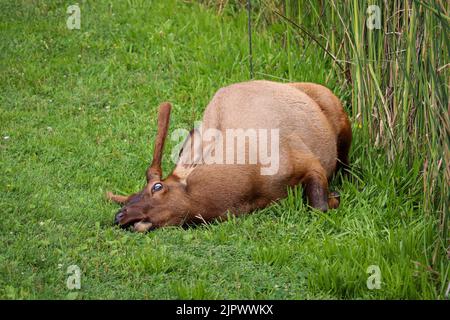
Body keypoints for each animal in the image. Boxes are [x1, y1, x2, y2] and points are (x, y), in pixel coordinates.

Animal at [106, 80, 352, 232]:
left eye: (157, 187)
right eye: (128, 198)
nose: (119, 216)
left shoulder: (309, 162)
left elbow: (319, 207)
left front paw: (334, 197)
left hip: (342, 122)